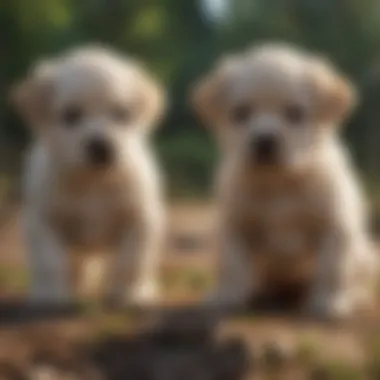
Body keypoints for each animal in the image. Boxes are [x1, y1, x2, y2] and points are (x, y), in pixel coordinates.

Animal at [11, 46, 166, 304]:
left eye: (120, 113)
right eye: (71, 115)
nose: (100, 146)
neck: (94, 182)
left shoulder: (140, 219)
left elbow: (131, 260)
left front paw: (130, 294)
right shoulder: (43, 222)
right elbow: (50, 261)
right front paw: (50, 296)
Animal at [191, 43, 378, 318]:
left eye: (295, 113)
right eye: (241, 113)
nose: (264, 141)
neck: (279, 183)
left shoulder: (335, 226)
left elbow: (331, 267)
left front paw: (329, 302)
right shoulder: (233, 224)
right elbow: (232, 263)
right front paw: (226, 297)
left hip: (366, 257)